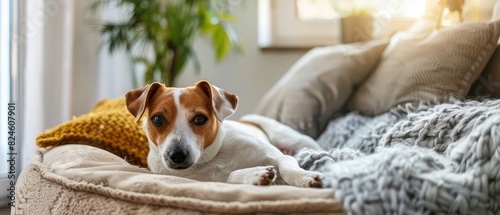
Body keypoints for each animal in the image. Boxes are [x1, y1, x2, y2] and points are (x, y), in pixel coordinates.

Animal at [125, 80, 324, 186]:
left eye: (200, 119)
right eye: (158, 119)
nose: (178, 155)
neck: (214, 158)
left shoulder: (280, 157)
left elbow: (287, 167)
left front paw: (304, 177)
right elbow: (231, 176)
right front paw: (255, 175)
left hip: (298, 142)